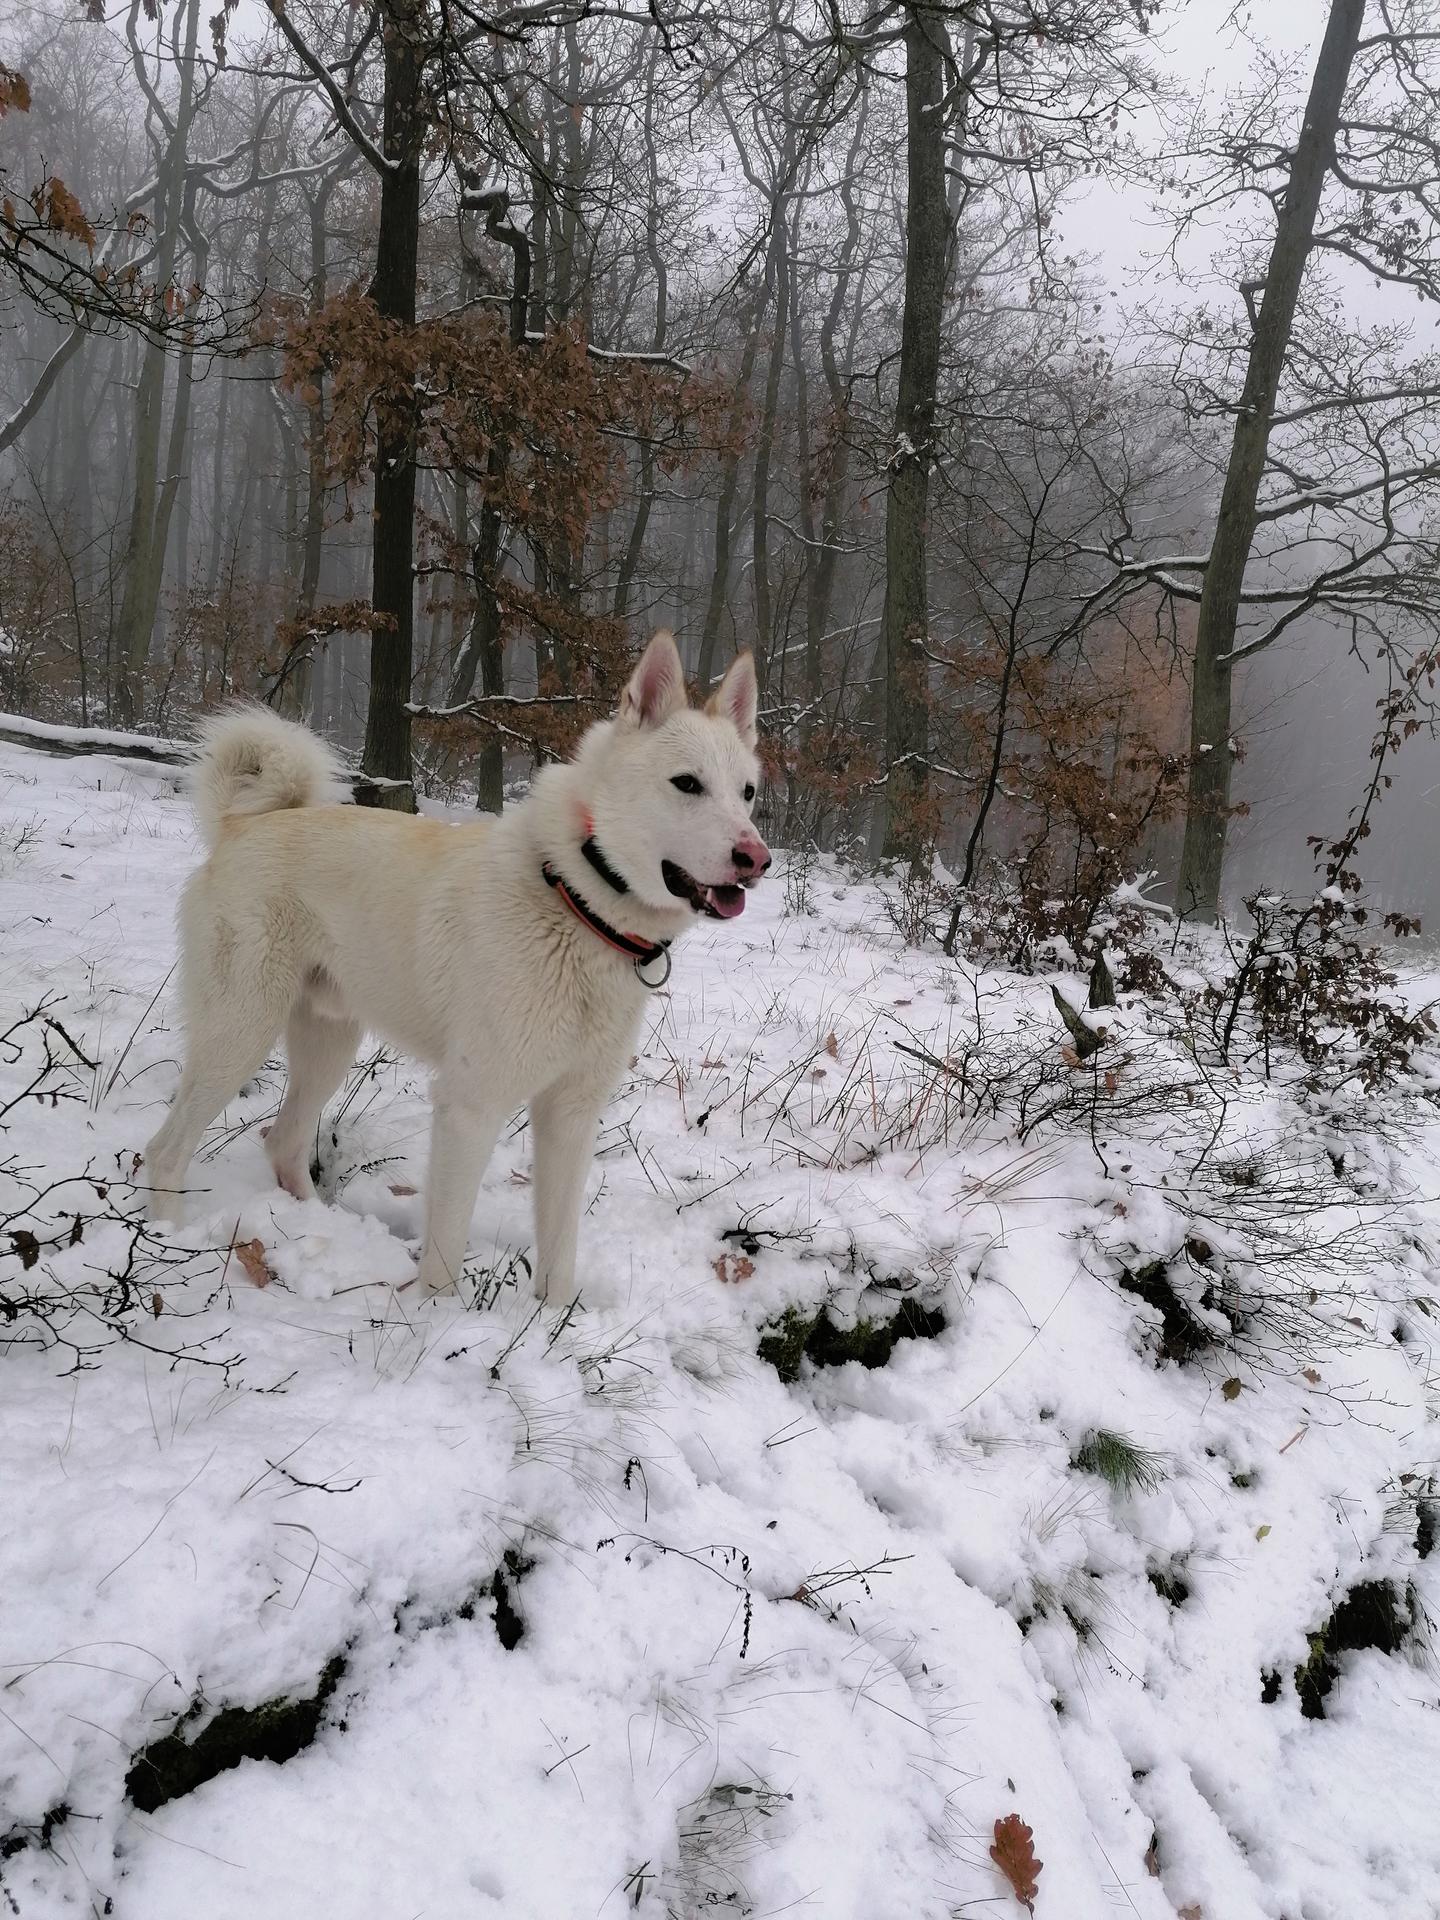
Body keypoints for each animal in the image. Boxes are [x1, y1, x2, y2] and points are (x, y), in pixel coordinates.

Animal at [144, 631, 769, 1304]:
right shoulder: (470, 1107)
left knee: (282, 1144)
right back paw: (168, 1241)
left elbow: (559, 1249)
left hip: (328, 1044)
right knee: (166, 1149)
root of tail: (243, 826)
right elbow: (445, 1249)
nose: (756, 859)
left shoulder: (571, 1116)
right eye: (687, 784)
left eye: (747, 793)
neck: (577, 901)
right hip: (239, 1034)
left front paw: (553, 1319)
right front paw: (436, 1321)